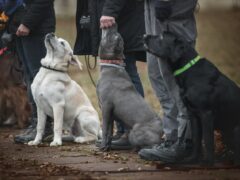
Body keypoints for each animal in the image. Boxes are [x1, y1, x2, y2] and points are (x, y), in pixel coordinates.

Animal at [143, 32, 240, 165]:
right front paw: (192, 159)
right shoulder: (193, 114)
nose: (144, 36)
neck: (189, 69)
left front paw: (208, 163)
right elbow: (196, 139)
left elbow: (208, 140)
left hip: (235, 130)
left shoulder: (206, 114)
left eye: (162, 37)